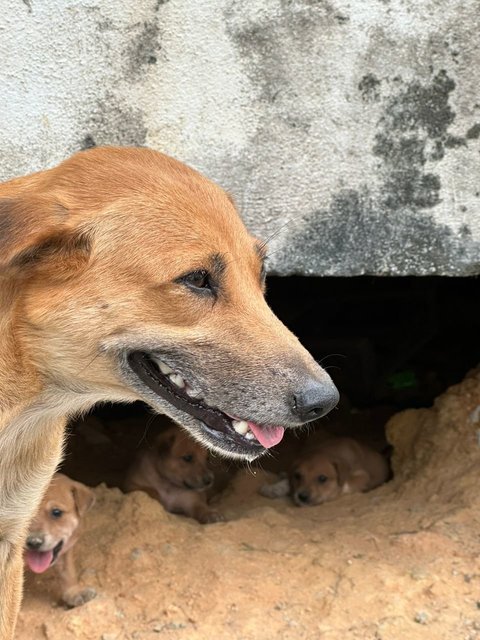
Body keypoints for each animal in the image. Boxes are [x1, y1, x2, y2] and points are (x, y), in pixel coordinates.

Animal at [260, 438, 388, 508]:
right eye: (298, 476)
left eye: (322, 478)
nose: (302, 497)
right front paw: (274, 488)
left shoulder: (362, 475)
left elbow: (344, 486)